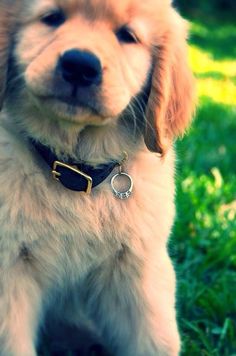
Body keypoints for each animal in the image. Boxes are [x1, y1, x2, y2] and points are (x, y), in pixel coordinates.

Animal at [0, 0, 195, 354]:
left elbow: (154, 339)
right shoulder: (9, 271)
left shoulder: (139, 272)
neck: (75, 173)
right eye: (52, 18)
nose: (79, 65)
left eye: (128, 35)